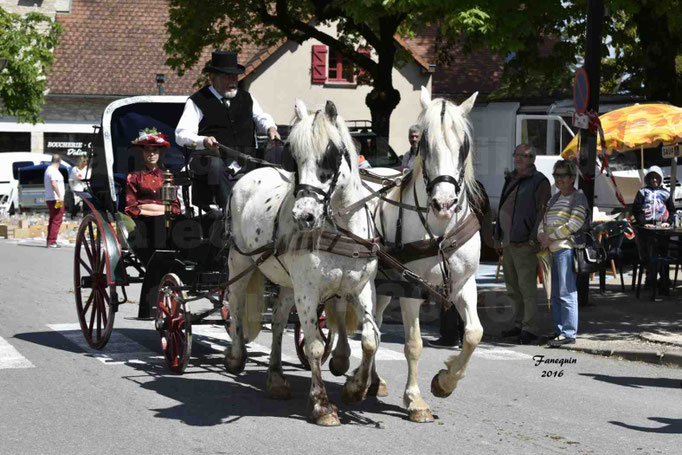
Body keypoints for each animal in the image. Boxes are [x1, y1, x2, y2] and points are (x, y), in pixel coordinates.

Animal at [226, 100, 380, 428]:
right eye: (293, 160)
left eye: (330, 157)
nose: (303, 216)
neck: (341, 229)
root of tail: (249, 174)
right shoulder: (308, 292)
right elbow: (315, 347)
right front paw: (322, 405)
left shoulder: (360, 287)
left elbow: (371, 339)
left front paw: (356, 389)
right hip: (239, 261)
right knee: (235, 303)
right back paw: (235, 355)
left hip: (287, 282)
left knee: (279, 319)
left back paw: (275, 378)